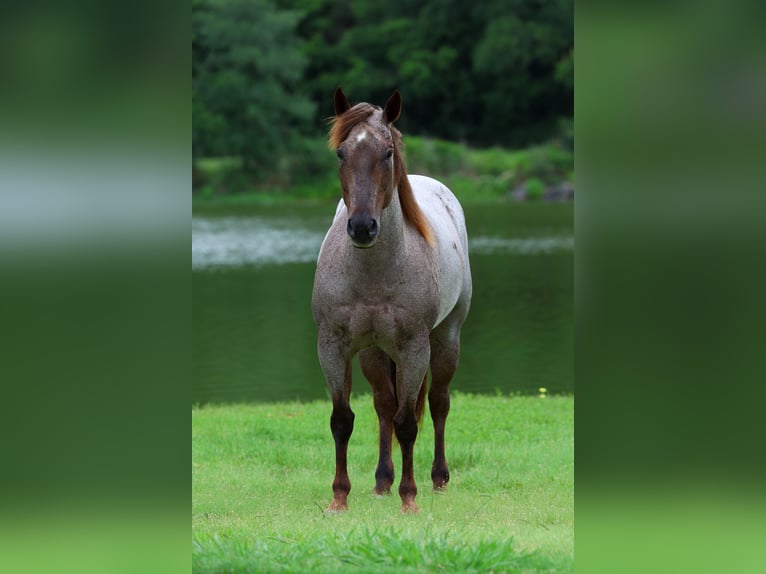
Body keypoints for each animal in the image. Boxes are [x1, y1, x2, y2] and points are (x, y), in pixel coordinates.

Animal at [311, 88, 472, 513]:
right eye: (341, 153)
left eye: (386, 152)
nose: (362, 227)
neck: (373, 272)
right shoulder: (333, 345)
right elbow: (343, 419)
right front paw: (339, 498)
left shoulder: (414, 348)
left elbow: (408, 423)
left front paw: (409, 498)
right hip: (374, 351)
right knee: (384, 405)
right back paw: (382, 481)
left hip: (445, 339)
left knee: (437, 403)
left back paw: (437, 479)